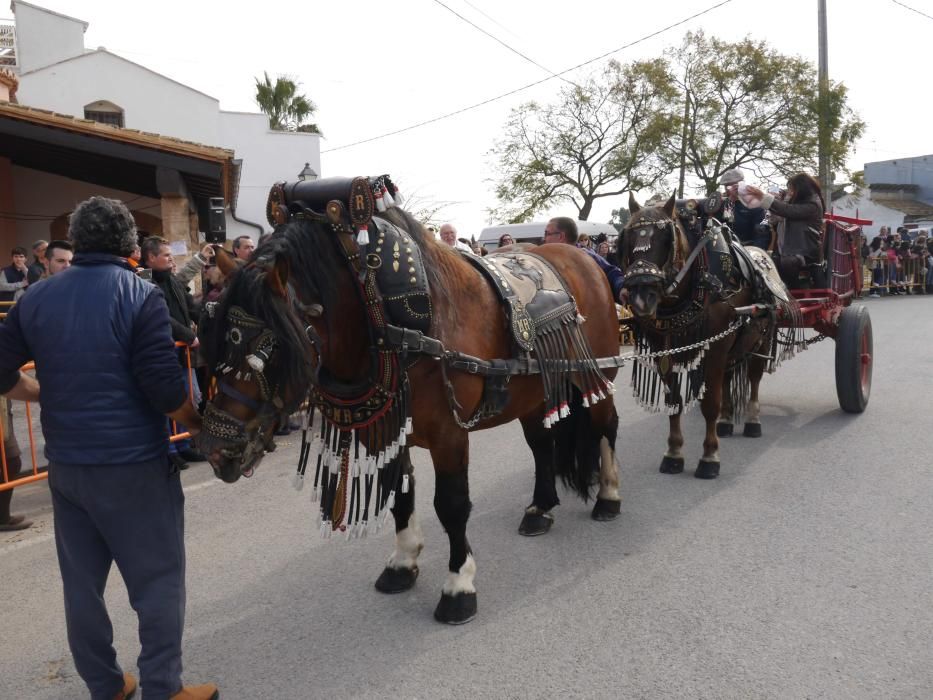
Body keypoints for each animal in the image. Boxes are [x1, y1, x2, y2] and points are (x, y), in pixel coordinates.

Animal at [198, 190, 624, 624]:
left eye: (269, 350)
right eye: (214, 335)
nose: (216, 450)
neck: (384, 317)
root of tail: (580, 255)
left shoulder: (449, 434)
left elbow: (451, 504)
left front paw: (459, 586)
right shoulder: (390, 431)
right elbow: (400, 495)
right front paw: (403, 563)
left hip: (598, 374)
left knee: (606, 426)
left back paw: (608, 497)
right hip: (533, 392)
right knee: (542, 445)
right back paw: (540, 508)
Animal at [616, 193, 792, 482]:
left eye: (667, 239)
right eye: (628, 239)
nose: (642, 298)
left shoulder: (717, 346)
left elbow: (710, 403)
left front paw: (709, 458)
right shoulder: (665, 350)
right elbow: (674, 401)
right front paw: (674, 453)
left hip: (761, 338)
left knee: (754, 378)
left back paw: (752, 421)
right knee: (729, 378)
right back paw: (726, 421)